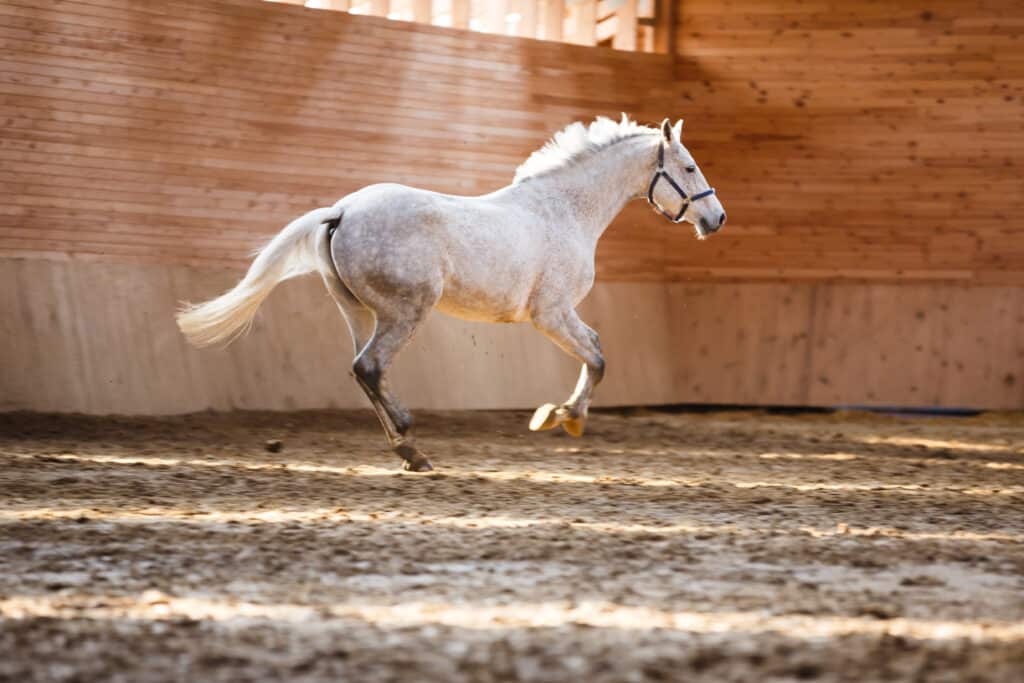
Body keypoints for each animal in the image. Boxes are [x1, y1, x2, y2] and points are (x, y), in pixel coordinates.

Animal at [176, 115, 726, 472]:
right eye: (691, 168)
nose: (716, 219)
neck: (566, 209)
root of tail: (343, 211)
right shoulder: (551, 313)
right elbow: (597, 356)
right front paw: (561, 418)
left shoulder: (559, 314)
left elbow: (596, 351)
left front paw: (562, 416)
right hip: (405, 312)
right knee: (370, 366)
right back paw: (411, 445)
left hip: (358, 312)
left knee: (361, 370)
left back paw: (406, 451)